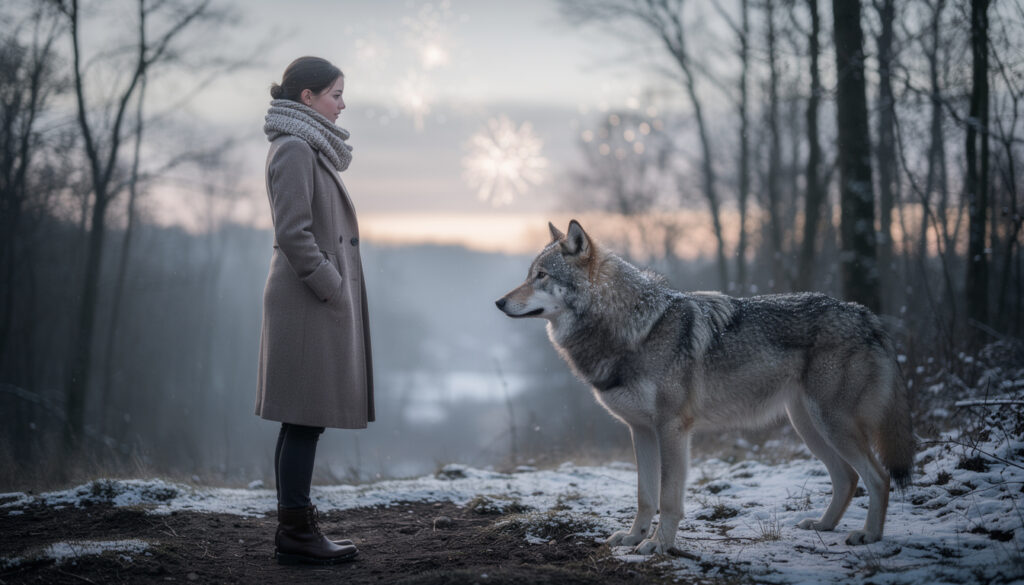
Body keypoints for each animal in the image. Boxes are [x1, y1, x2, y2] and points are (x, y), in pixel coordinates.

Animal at [496, 220, 914, 555]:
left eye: (542, 276)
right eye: (529, 274)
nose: (498, 302)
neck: (631, 328)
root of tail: (866, 315)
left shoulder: (672, 429)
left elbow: (668, 497)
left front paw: (659, 545)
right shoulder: (640, 431)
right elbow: (644, 496)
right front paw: (634, 539)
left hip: (831, 424)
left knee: (877, 477)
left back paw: (869, 536)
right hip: (809, 426)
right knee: (847, 478)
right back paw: (824, 526)